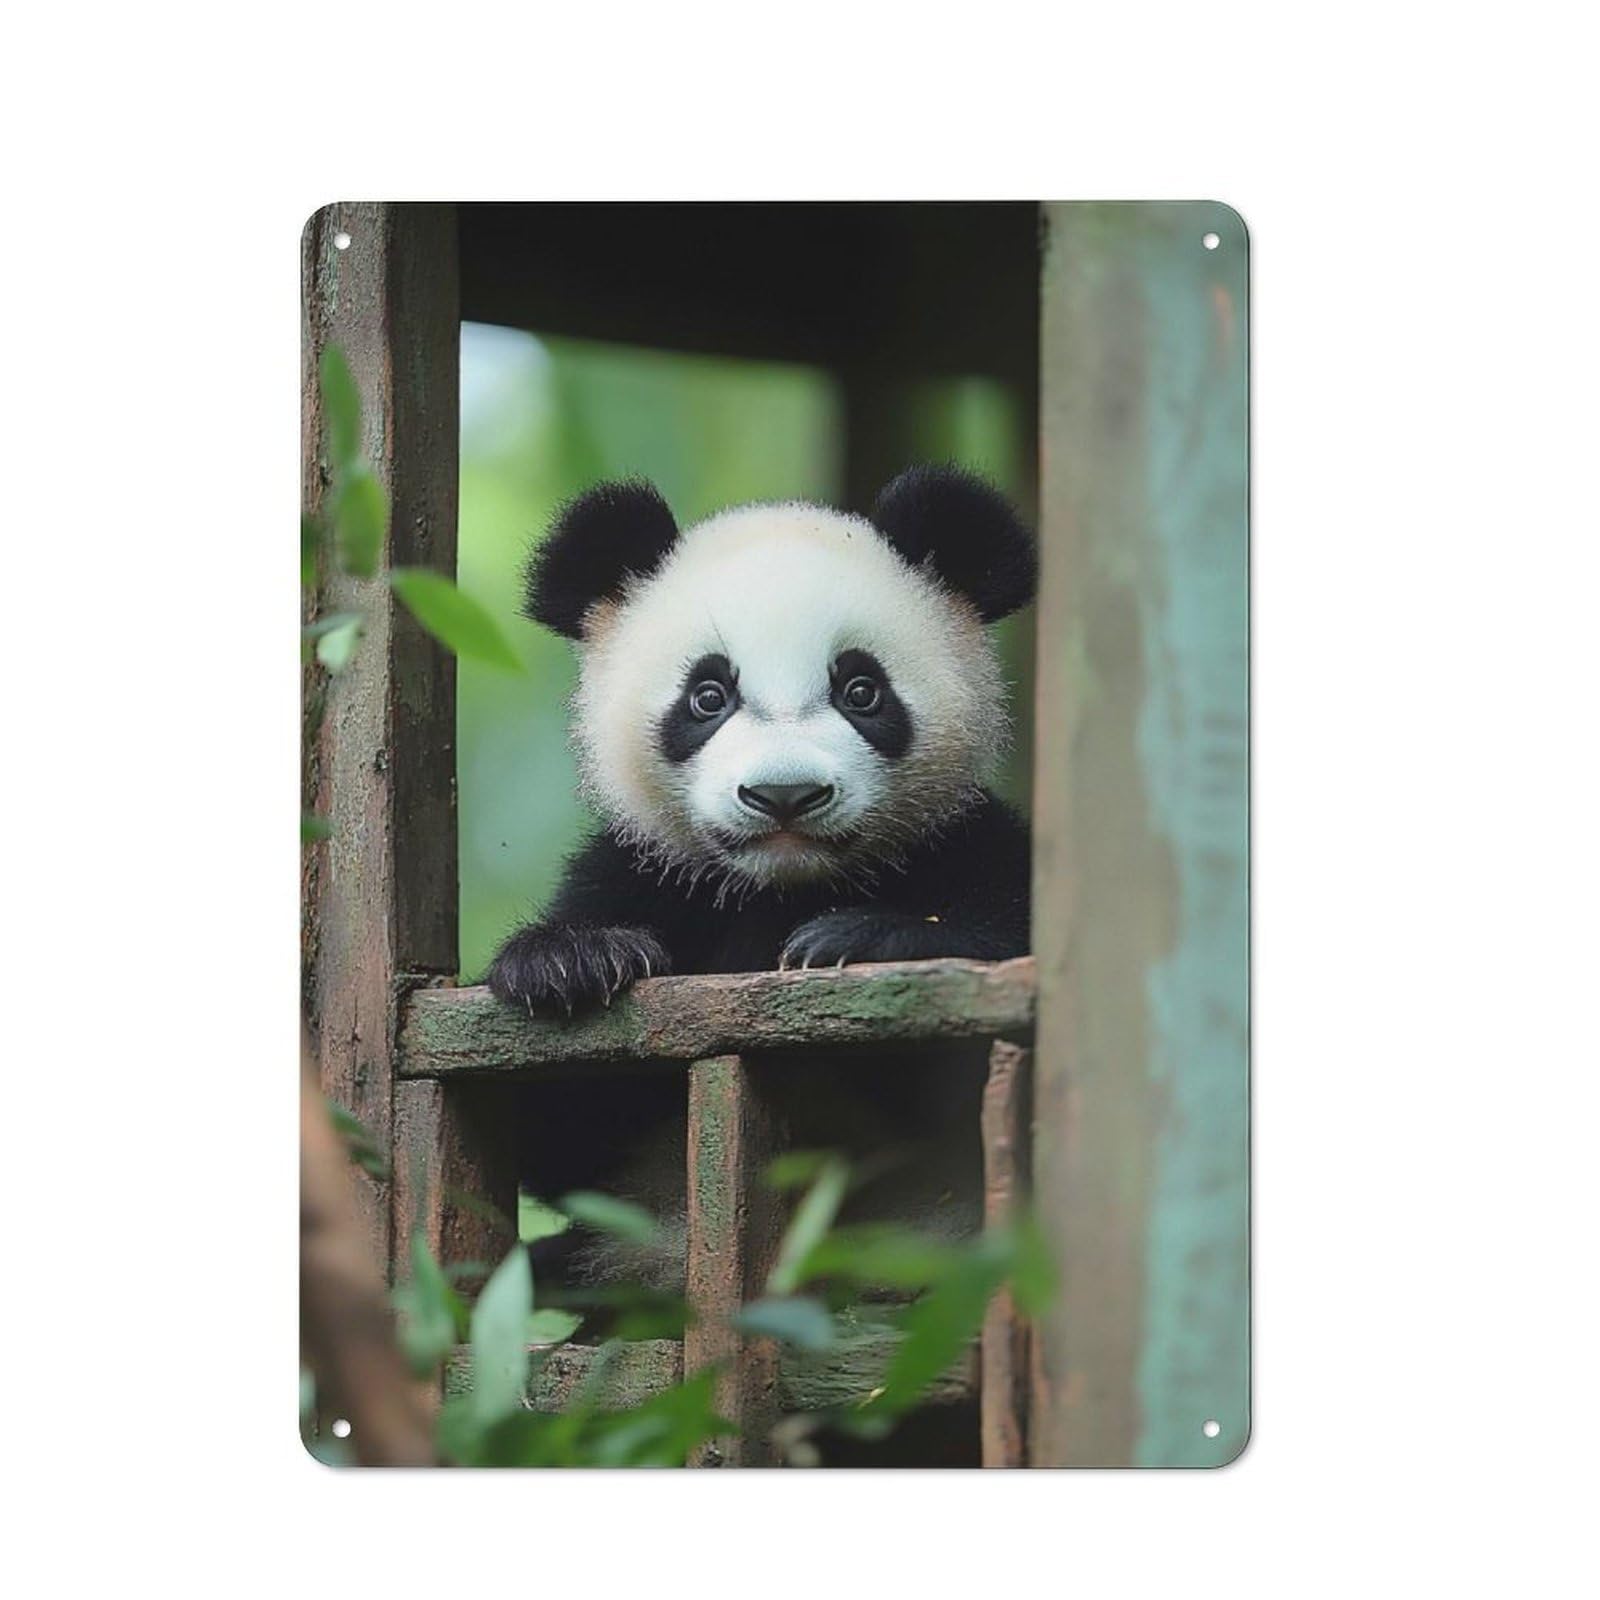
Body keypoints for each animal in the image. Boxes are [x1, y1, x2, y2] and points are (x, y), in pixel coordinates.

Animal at [485, 463, 1035, 1014]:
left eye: (861, 692)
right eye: (708, 696)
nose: (784, 794)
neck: (781, 890)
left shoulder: (969, 844)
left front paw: (853, 937)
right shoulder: (644, 873)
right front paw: (571, 958)